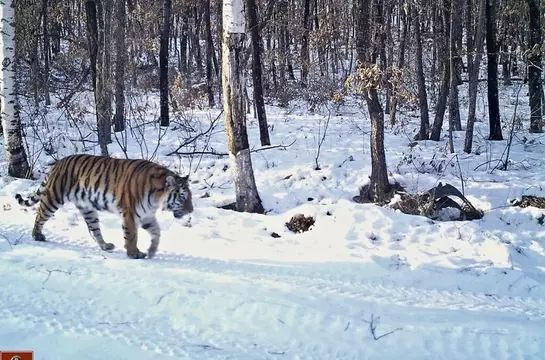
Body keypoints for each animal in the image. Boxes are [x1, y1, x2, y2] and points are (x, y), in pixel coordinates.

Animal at [15, 154, 193, 258]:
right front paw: (134, 253)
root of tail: (58, 163)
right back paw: (37, 235)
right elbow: (132, 235)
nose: (191, 210)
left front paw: (152, 251)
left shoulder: (147, 215)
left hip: (88, 209)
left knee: (94, 230)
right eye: (183, 196)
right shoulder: (130, 213)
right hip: (54, 197)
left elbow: (156, 233)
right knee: (40, 215)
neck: (157, 198)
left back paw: (106, 246)